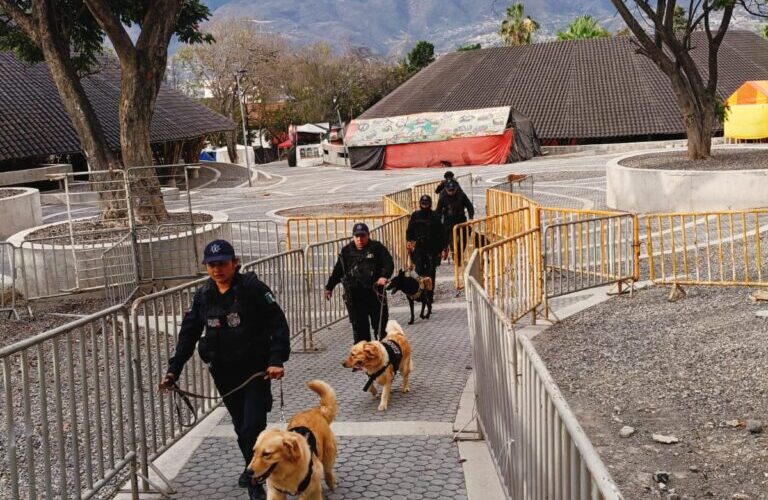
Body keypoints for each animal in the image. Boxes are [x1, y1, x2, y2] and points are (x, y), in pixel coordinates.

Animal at [158, 240, 290, 498]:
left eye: (222, 261)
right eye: (213, 263)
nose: (216, 268)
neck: (224, 287)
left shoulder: (261, 293)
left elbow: (277, 320)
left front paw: (256, 487)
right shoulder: (196, 305)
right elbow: (188, 334)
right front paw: (171, 373)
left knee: (246, 427)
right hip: (228, 389)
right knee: (238, 427)